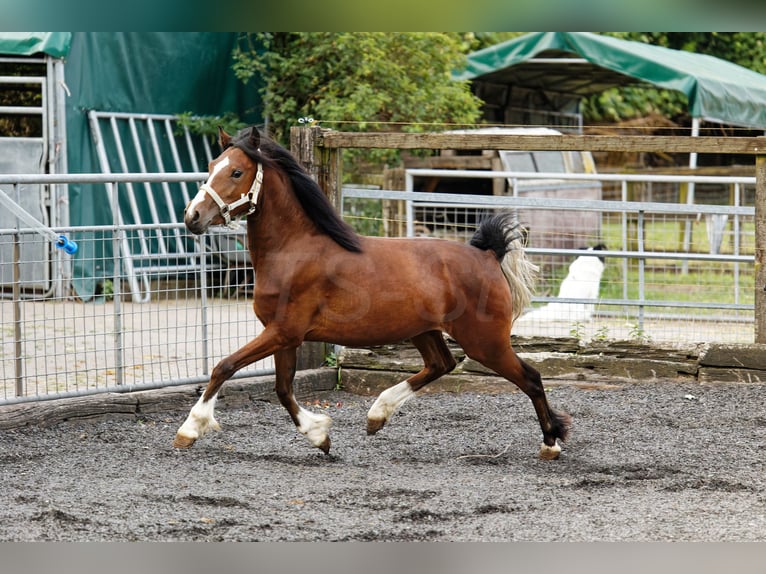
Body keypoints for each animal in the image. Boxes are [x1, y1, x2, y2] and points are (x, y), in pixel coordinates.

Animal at [174, 128, 568, 462]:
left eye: (237, 172)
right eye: (211, 167)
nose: (192, 217)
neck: (293, 250)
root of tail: (487, 256)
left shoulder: (284, 331)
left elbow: (225, 366)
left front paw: (189, 430)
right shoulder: (284, 334)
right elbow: (283, 390)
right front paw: (320, 436)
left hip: (485, 342)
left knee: (530, 378)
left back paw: (551, 443)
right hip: (425, 331)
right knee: (441, 364)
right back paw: (377, 415)